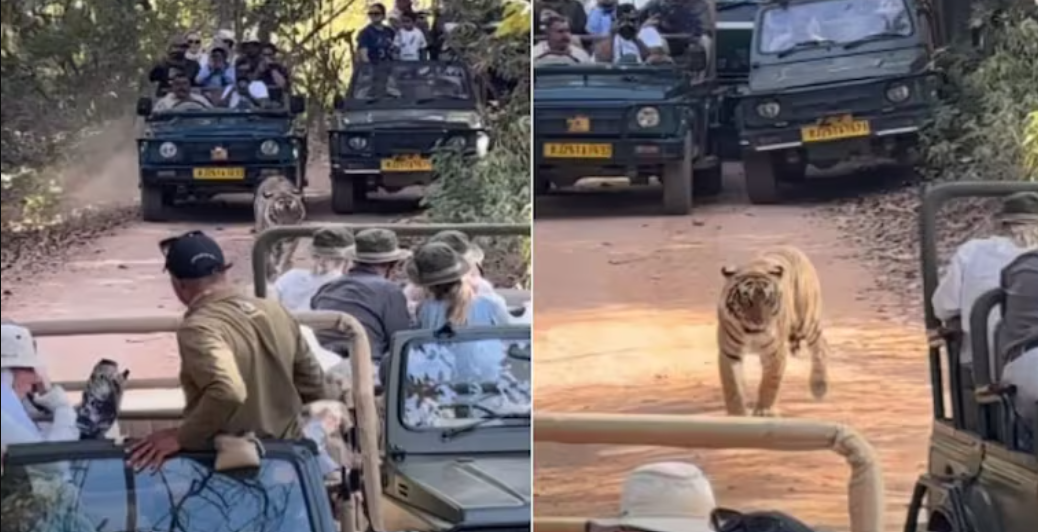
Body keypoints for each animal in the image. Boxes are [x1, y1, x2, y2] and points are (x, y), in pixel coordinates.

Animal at [716, 246, 829, 417]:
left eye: (767, 299)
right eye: (745, 299)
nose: (759, 321)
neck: (751, 332)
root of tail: (791, 247)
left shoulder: (775, 352)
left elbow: (769, 383)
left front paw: (764, 410)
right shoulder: (729, 352)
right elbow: (733, 386)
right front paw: (737, 414)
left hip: (807, 319)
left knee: (820, 344)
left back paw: (819, 386)